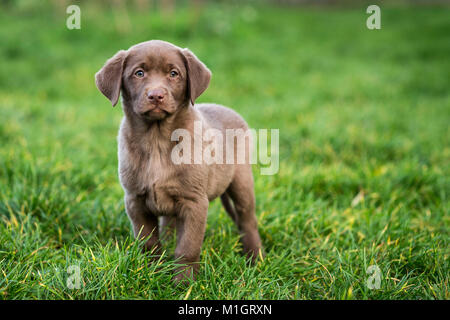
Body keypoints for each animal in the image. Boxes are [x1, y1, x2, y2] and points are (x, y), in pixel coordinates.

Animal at [96, 40, 264, 282]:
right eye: (139, 73)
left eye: (174, 74)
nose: (156, 95)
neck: (157, 140)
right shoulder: (135, 200)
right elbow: (148, 242)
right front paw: (152, 272)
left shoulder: (194, 202)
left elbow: (187, 247)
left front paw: (184, 283)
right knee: (169, 224)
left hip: (241, 180)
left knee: (247, 220)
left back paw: (254, 258)